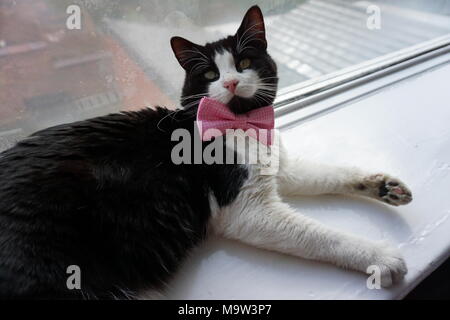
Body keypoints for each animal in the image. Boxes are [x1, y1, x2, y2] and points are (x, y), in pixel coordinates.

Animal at [0, 5, 412, 300]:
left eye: (243, 63)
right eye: (211, 75)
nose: (229, 82)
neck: (243, 125)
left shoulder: (280, 167)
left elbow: (328, 173)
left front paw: (383, 185)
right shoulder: (248, 210)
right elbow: (321, 236)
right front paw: (378, 256)